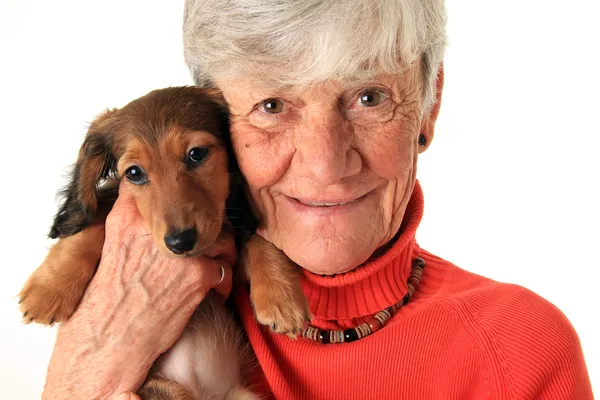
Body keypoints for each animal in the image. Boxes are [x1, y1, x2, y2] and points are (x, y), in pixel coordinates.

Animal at [18, 87, 312, 400]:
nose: (180, 241)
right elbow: (95, 220)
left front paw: (281, 299)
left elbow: (257, 236)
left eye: (196, 154)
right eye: (134, 173)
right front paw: (48, 290)